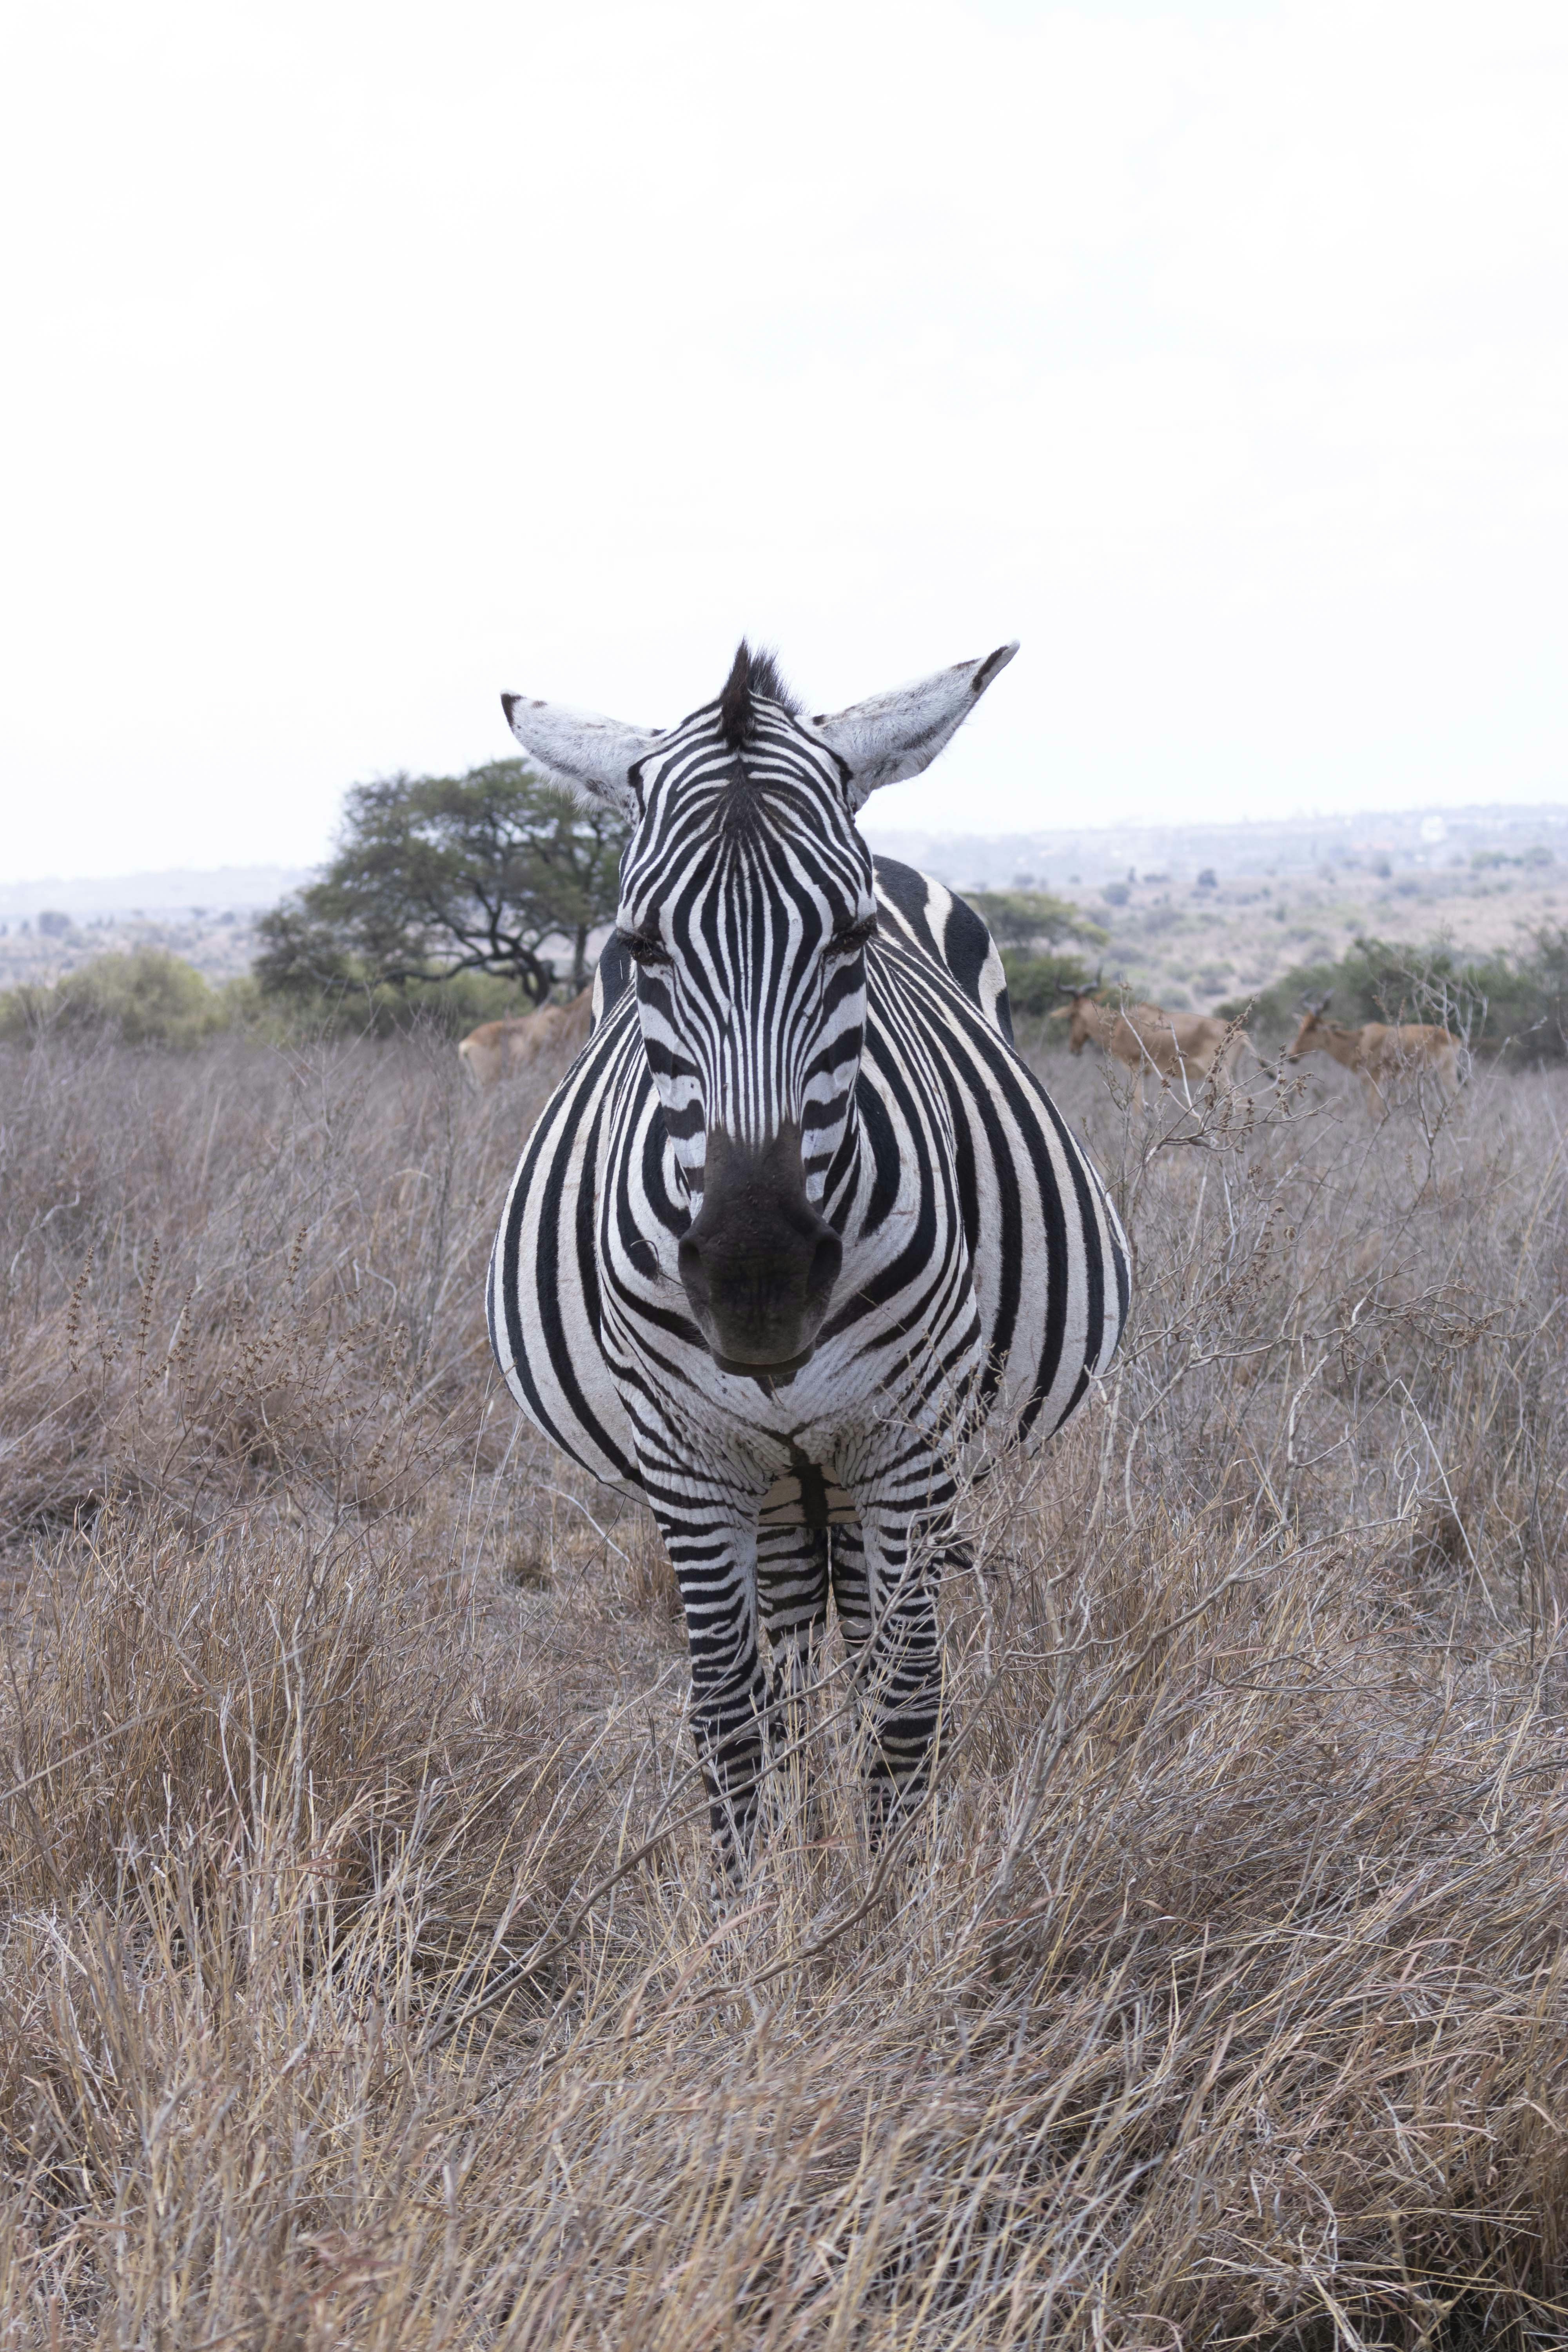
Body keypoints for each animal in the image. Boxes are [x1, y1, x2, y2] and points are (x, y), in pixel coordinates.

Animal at [489, 642, 1129, 1878]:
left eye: (852, 938)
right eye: (640, 948)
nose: (759, 1286)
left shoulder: (907, 1439)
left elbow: (907, 1701)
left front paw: (883, 1907)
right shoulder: (690, 1458)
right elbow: (730, 1714)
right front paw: (756, 1905)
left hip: (883, 1461)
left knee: (863, 1639)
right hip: (780, 1474)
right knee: (787, 1655)